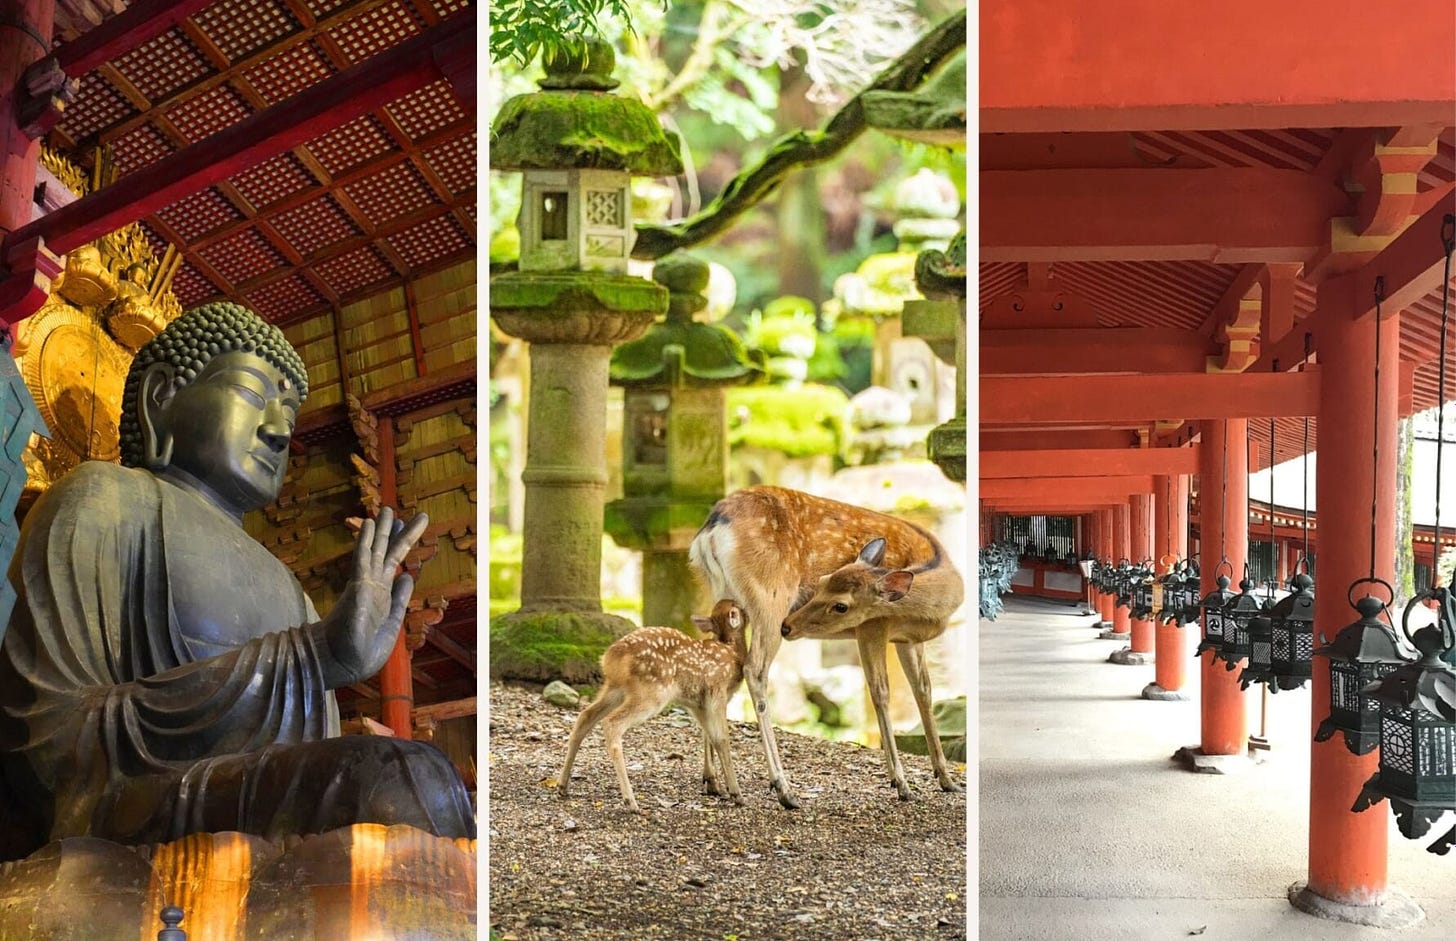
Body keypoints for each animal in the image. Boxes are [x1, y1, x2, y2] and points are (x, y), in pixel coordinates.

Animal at [687, 486, 960, 809]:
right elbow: (881, 692)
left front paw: (946, 779)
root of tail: (711, 529)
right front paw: (901, 783)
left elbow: (924, 692)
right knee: (754, 669)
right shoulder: (873, 627)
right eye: (824, 586)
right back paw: (783, 788)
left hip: (720, 597)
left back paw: (712, 782)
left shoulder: (909, 640)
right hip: (770, 598)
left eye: (832, 591)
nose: (790, 625)